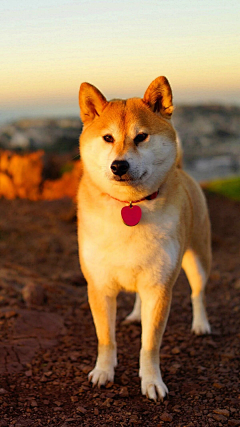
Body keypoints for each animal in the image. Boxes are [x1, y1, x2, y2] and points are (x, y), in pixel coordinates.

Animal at [77, 76, 212, 402]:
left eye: (141, 137)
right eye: (108, 138)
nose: (119, 165)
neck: (130, 206)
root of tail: (182, 171)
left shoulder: (159, 287)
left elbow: (149, 345)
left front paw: (152, 382)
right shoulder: (99, 286)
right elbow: (105, 338)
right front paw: (103, 372)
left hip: (198, 259)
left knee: (198, 293)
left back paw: (201, 324)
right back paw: (137, 315)